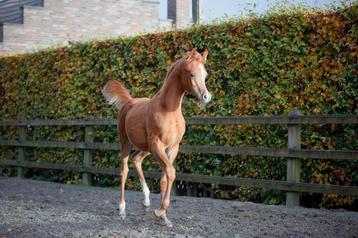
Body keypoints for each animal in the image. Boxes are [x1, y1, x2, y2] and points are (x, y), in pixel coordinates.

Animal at [102, 48, 211, 227]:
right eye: (191, 73)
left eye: (205, 74)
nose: (206, 97)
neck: (168, 110)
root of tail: (129, 102)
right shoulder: (157, 145)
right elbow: (171, 172)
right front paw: (159, 211)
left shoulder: (172, 147)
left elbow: (165, 178)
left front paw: (164, 217)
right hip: (126, 142)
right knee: (124, 170)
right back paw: (122, 209)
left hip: (145, 148)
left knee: (136, 159)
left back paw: (146, 201)